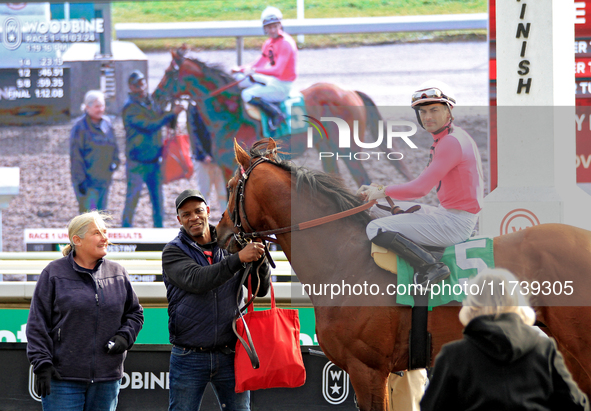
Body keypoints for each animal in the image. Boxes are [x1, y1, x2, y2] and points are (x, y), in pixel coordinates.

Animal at [153, 47, 412, 187]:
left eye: (168, 74)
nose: (154, 97)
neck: (229, 114)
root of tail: (349, 91)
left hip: (346, 147)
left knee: (363, 180)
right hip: (327, 149)